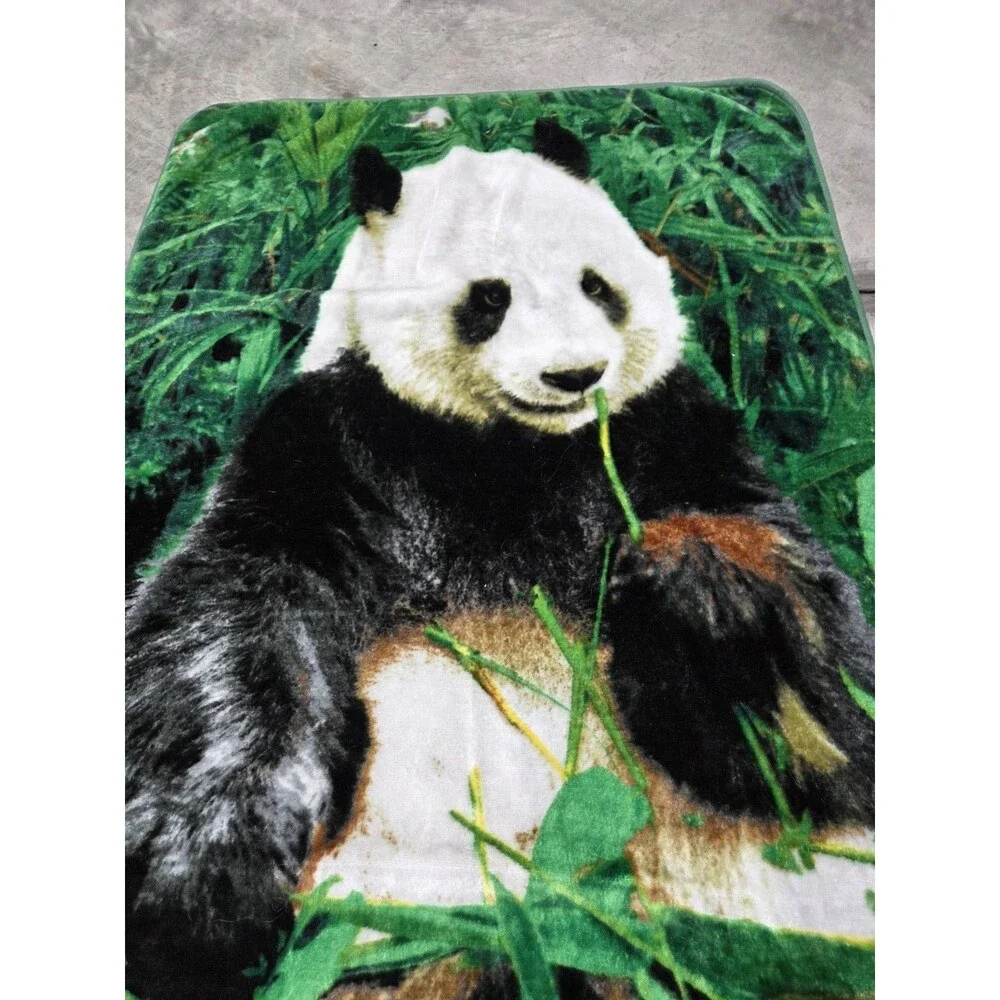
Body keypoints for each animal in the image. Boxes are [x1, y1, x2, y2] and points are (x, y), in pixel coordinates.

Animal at [125, 118, 874, 1000]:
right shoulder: (336, 444)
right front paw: (202, 900)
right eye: (491, 297)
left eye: (597, 287)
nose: (575, 374)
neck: (516, 457)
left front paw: (711, 601)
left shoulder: (669, 436)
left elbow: (832, 707)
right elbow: (236, 613)